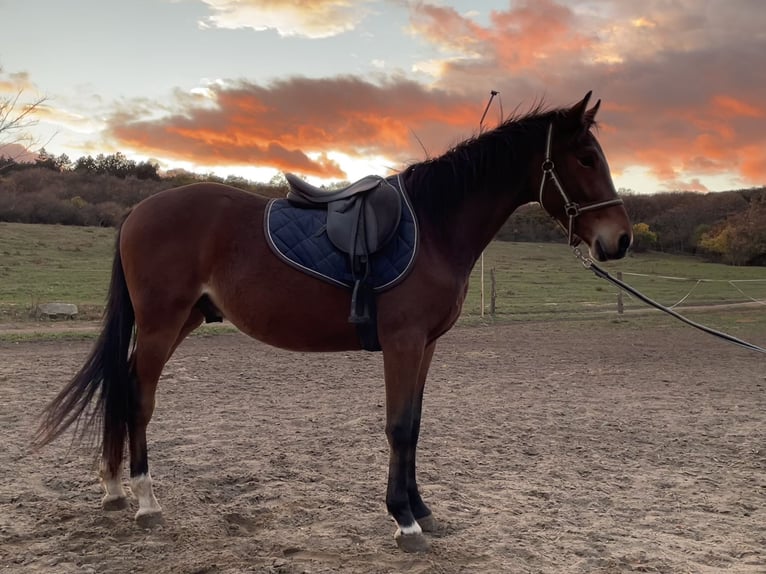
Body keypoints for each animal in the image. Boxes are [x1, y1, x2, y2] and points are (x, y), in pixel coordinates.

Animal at [34, 92, 632, 553]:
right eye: (584, 158)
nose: (620, 239)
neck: (436, 226)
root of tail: (138, 212)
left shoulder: (426, 346)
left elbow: (415, 425)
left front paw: (422, 509)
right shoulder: (403, 343)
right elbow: (398, 426)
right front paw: (404, 522)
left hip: (184, 320)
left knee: (124, 387)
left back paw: (114, 489)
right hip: (162, 324)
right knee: (138, 397)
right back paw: (144, 501)